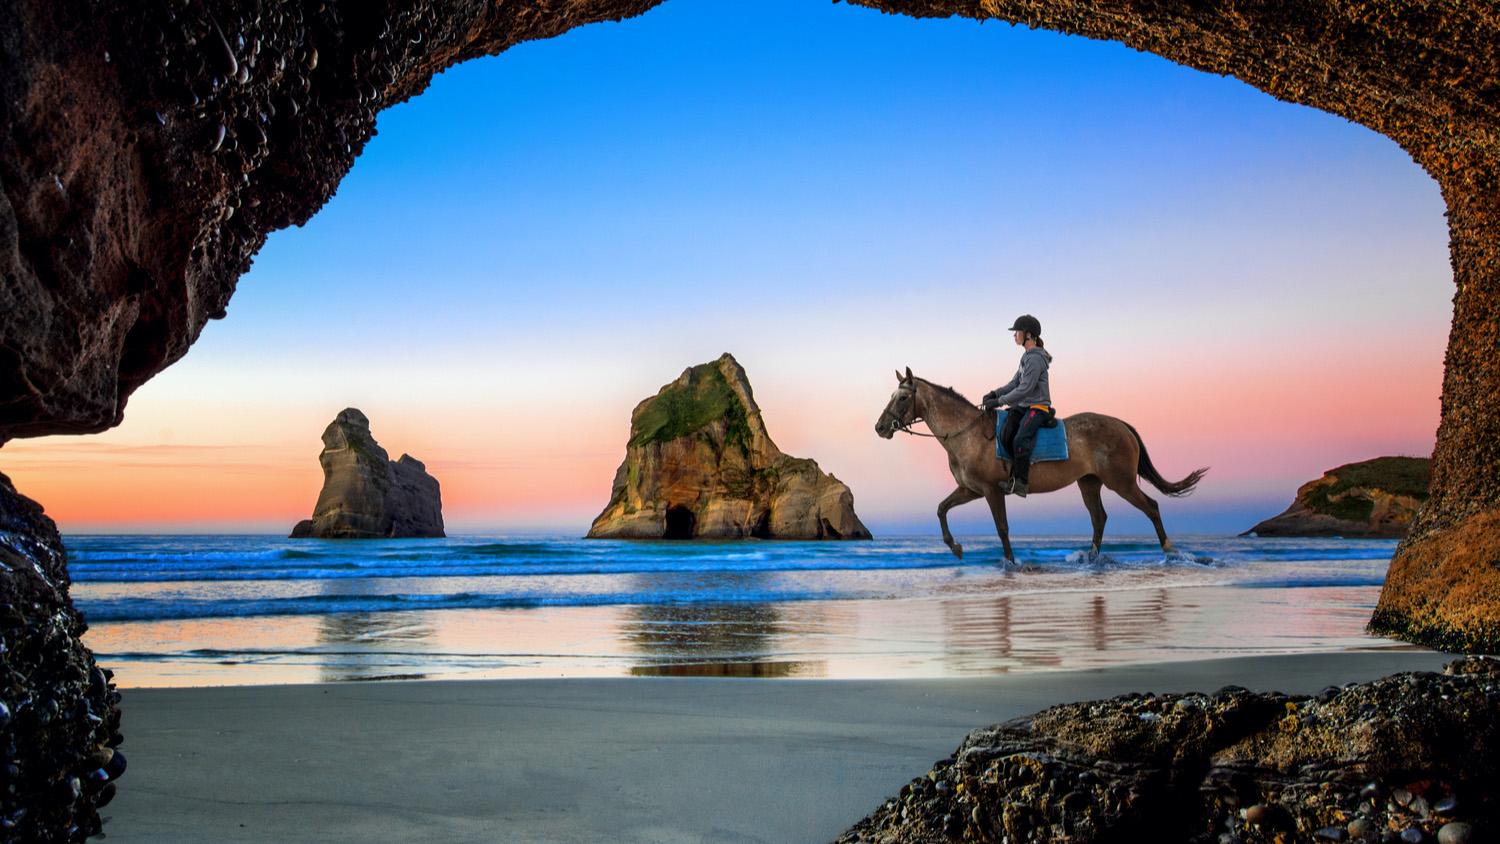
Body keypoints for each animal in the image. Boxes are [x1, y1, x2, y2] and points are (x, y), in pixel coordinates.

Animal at [876, 368, 1206, 560]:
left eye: (902, 398)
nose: (880, 428)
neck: (967, 433)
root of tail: (1122, 425)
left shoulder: (991, 491)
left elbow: (1002, 528)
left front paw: (1011, 564)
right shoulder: (971, 490)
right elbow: (941, 508)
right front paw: (955, 547)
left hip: (1120, 482)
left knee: (1150, 506)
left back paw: (1169, 550)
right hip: (1089, 483)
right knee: (1099, 518)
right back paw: (1091, 559)